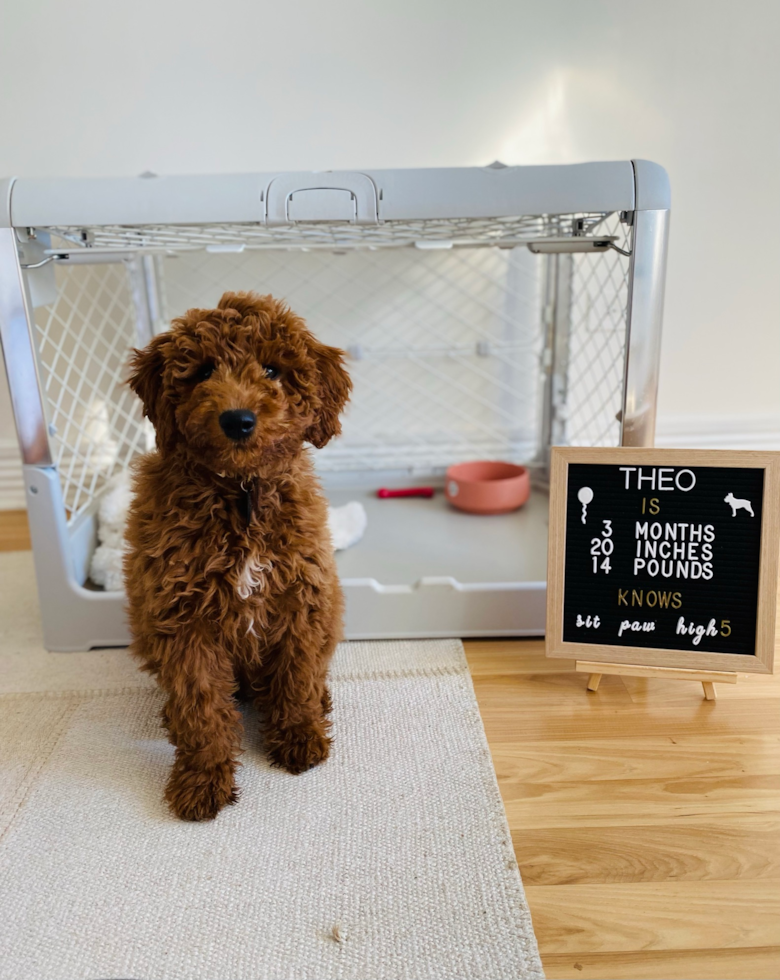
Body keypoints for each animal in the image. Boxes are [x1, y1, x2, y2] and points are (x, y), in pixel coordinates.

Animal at [124, 290, 350, 820]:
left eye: (272, 370)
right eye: (204, 371)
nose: (238, 419)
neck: (240, 492)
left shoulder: (300, 598)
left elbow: (297, 674)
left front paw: (299, 737)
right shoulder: (182, 619)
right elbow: (201, 705)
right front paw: (202, 779)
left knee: (310, 673)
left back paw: (320, 703)